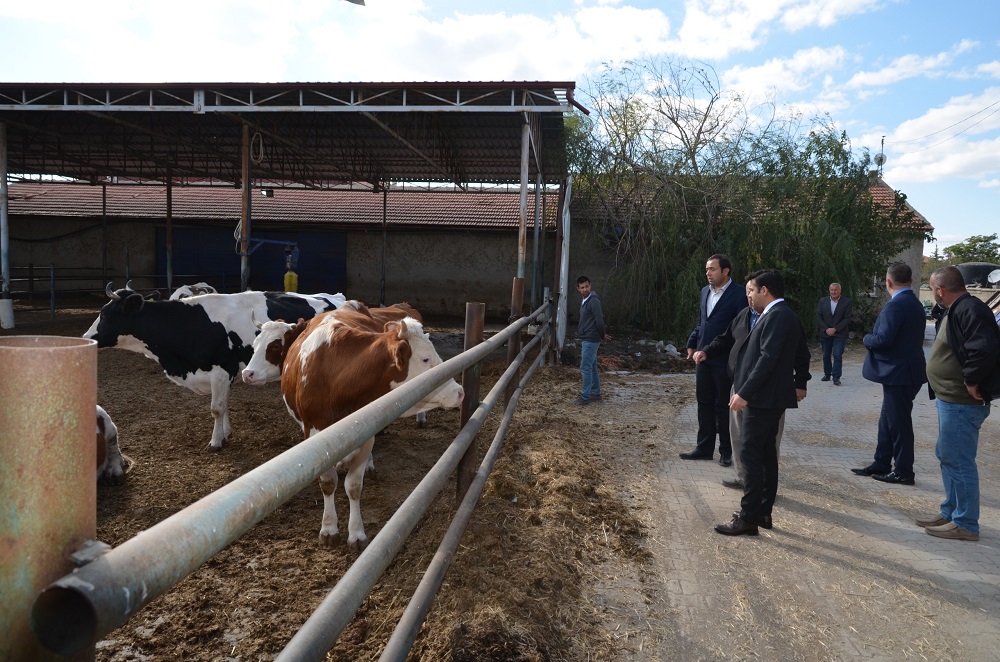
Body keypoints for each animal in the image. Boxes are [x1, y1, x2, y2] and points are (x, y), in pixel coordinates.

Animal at [84, 286, 348, 452]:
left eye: (105, 314)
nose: (87, 337)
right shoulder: (225, 375)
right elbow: (225, 405)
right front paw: (226, 433)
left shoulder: (220, 371)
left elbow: (216, 408)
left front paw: (216, 441)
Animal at [282, 308, 464, 548]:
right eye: (425, 358)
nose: (459, 392)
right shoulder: (314, 435)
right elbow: (329, 483)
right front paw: (329, 528)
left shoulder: (366, 436)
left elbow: (353, 486)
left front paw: (356, 533)